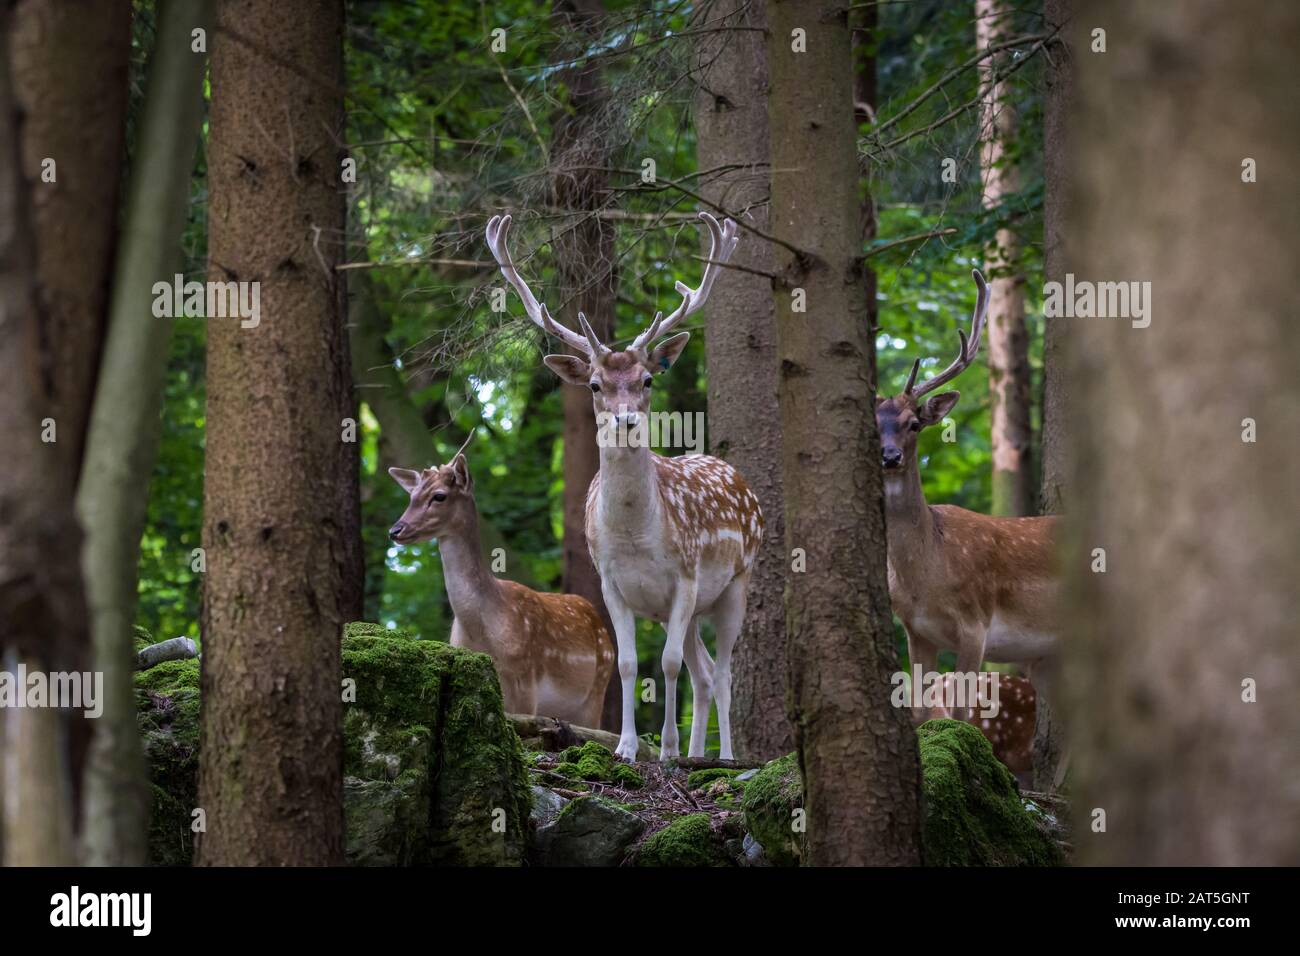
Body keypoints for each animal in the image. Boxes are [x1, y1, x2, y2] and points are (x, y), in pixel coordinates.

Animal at [387, 435, 614, 728]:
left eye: (439, 496)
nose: (395, 530)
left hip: (596, 692)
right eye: (411, 496)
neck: (482, 632)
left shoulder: (525, 679)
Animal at [485, 210, 762, 762]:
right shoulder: (612, 582)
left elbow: (669, 664)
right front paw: (629, 748)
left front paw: (667, 749)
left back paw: (721, 756)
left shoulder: (686, 576)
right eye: (594, 384)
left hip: (736, 582)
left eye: (647, 380)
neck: (636, 535)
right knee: (703, 672)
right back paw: (696, 751)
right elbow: (631, 664)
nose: (626, 419)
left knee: (721, 672)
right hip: (696, 607)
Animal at [877, 270, 1062, 730]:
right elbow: (921, 712)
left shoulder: (975, 624)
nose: (889, 457)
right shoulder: (916, 630)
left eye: (913, 423)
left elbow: (962, 716)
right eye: (872, 423)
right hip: (1047, 657)